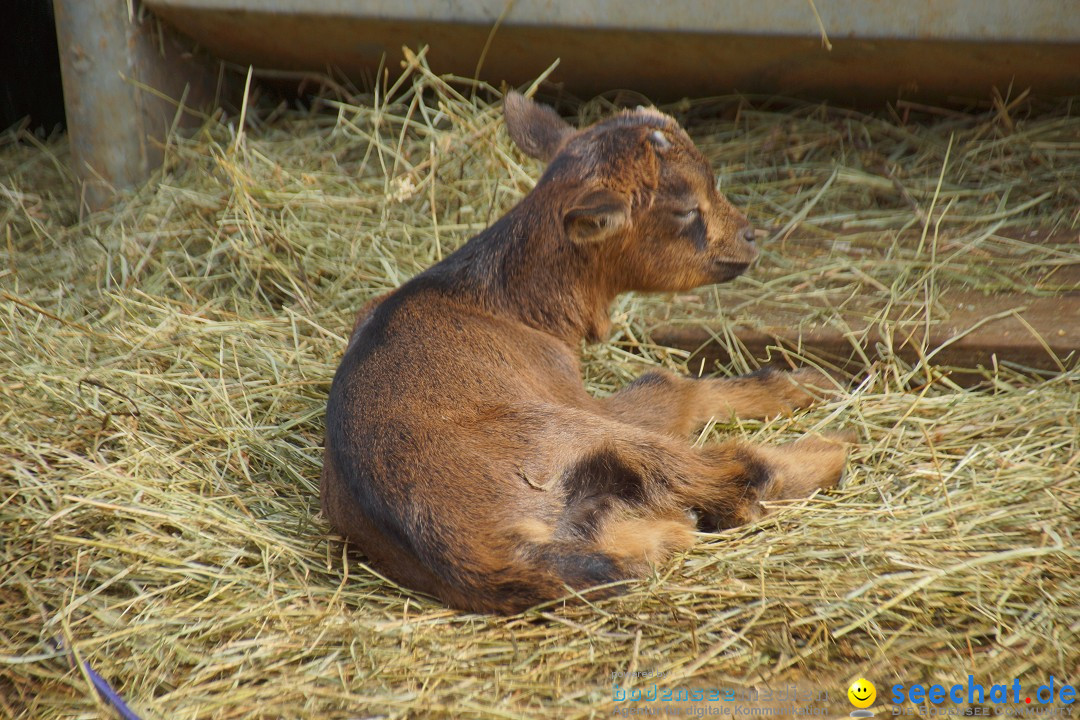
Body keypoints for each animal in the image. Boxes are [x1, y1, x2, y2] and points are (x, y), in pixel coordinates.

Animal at [319, 92, 851, 613]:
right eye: (683, 209)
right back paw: (830, 452)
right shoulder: (578, 396)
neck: (502, 302)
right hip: (573, 432)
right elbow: (670, 386)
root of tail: (485, 554)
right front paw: (806, 385)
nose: (749, 236)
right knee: (738, 476)